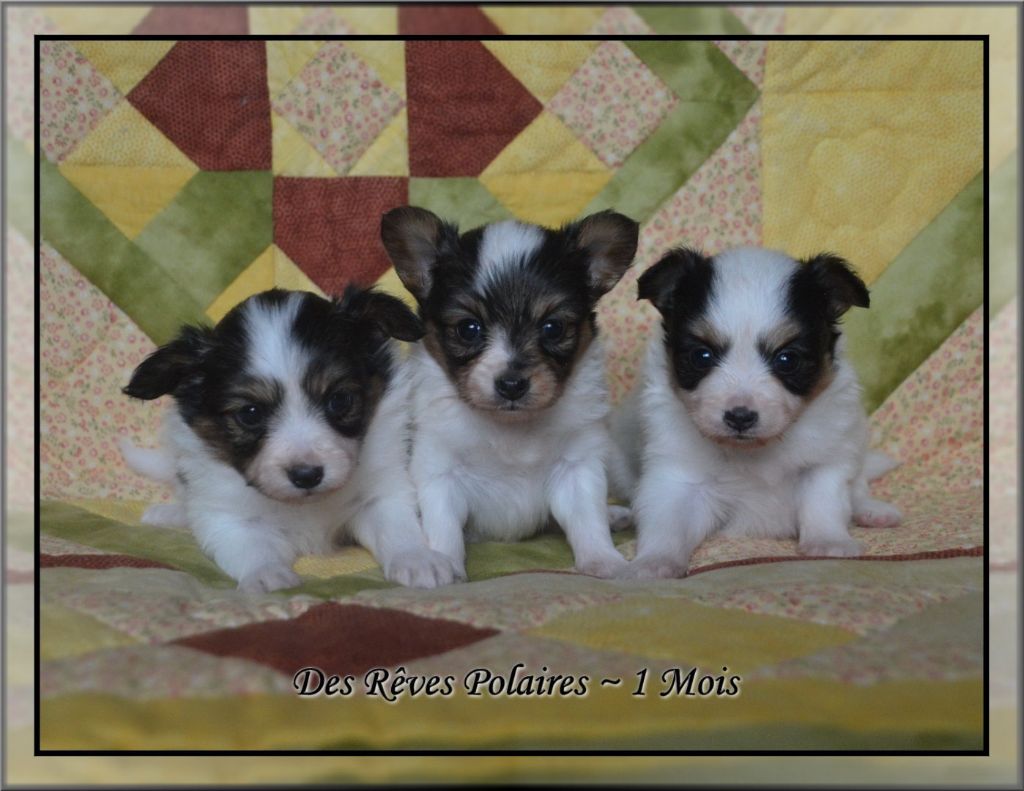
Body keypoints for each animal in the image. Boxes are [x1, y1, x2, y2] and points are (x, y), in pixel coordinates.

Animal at [117, 286, 458, 590]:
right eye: (250, 413)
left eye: (339, 400)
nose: (306, 475)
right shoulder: (228, 517)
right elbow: (251, 547)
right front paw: (267, 576)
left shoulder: (381, 494)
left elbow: (397, 528)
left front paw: (417, 560)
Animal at [380, 206, 638, 577]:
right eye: (468, 329)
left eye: (553, 328)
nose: (512, 385)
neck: (511, 428)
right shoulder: (439, 471)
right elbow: (443, 527)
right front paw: (445, 564)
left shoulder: (578, 466)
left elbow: (588, 520)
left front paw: (605, 561)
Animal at [610, 243, 901, 577]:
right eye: (701, 356)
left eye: (787, 359)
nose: (740, 416)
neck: (755, 451)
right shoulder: (676, 477)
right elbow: (667, 522)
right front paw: (654, 562)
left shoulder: (827, 460)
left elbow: (824, 504)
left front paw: (830, 542)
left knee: (859, 485)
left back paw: (872, 511)